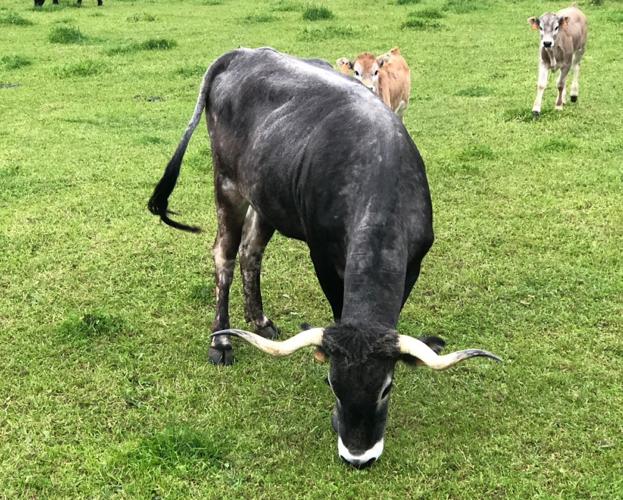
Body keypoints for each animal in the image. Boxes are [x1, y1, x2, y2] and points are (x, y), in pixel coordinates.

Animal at [147, 47, 502, 468]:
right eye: (333, 384)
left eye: (386, 387)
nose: (359, 456)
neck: (378, 171)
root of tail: (241, 53)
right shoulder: (323, 256)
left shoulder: (414, 263)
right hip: (228, 183)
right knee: (226, 256)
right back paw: (221, 342)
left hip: (267, 196)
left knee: (251, 252)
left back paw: (260, 320)